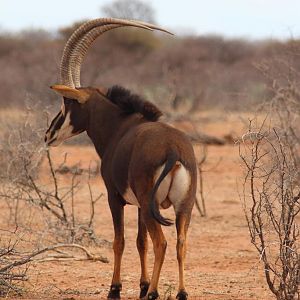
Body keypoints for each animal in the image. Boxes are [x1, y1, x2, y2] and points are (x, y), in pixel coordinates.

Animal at [45, 18, 197, 300]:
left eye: (67, 101)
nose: (49, 134)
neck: (120, 126)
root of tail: (173, 149)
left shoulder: (115, 197)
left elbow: (120, 241)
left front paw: (115, 289)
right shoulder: (137, 205)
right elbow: (140, 242)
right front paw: (142, 285)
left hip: (151, 205)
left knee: (162, 242)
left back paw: (154, 293)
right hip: (184, 206)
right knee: (180, 242)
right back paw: (180, 293)